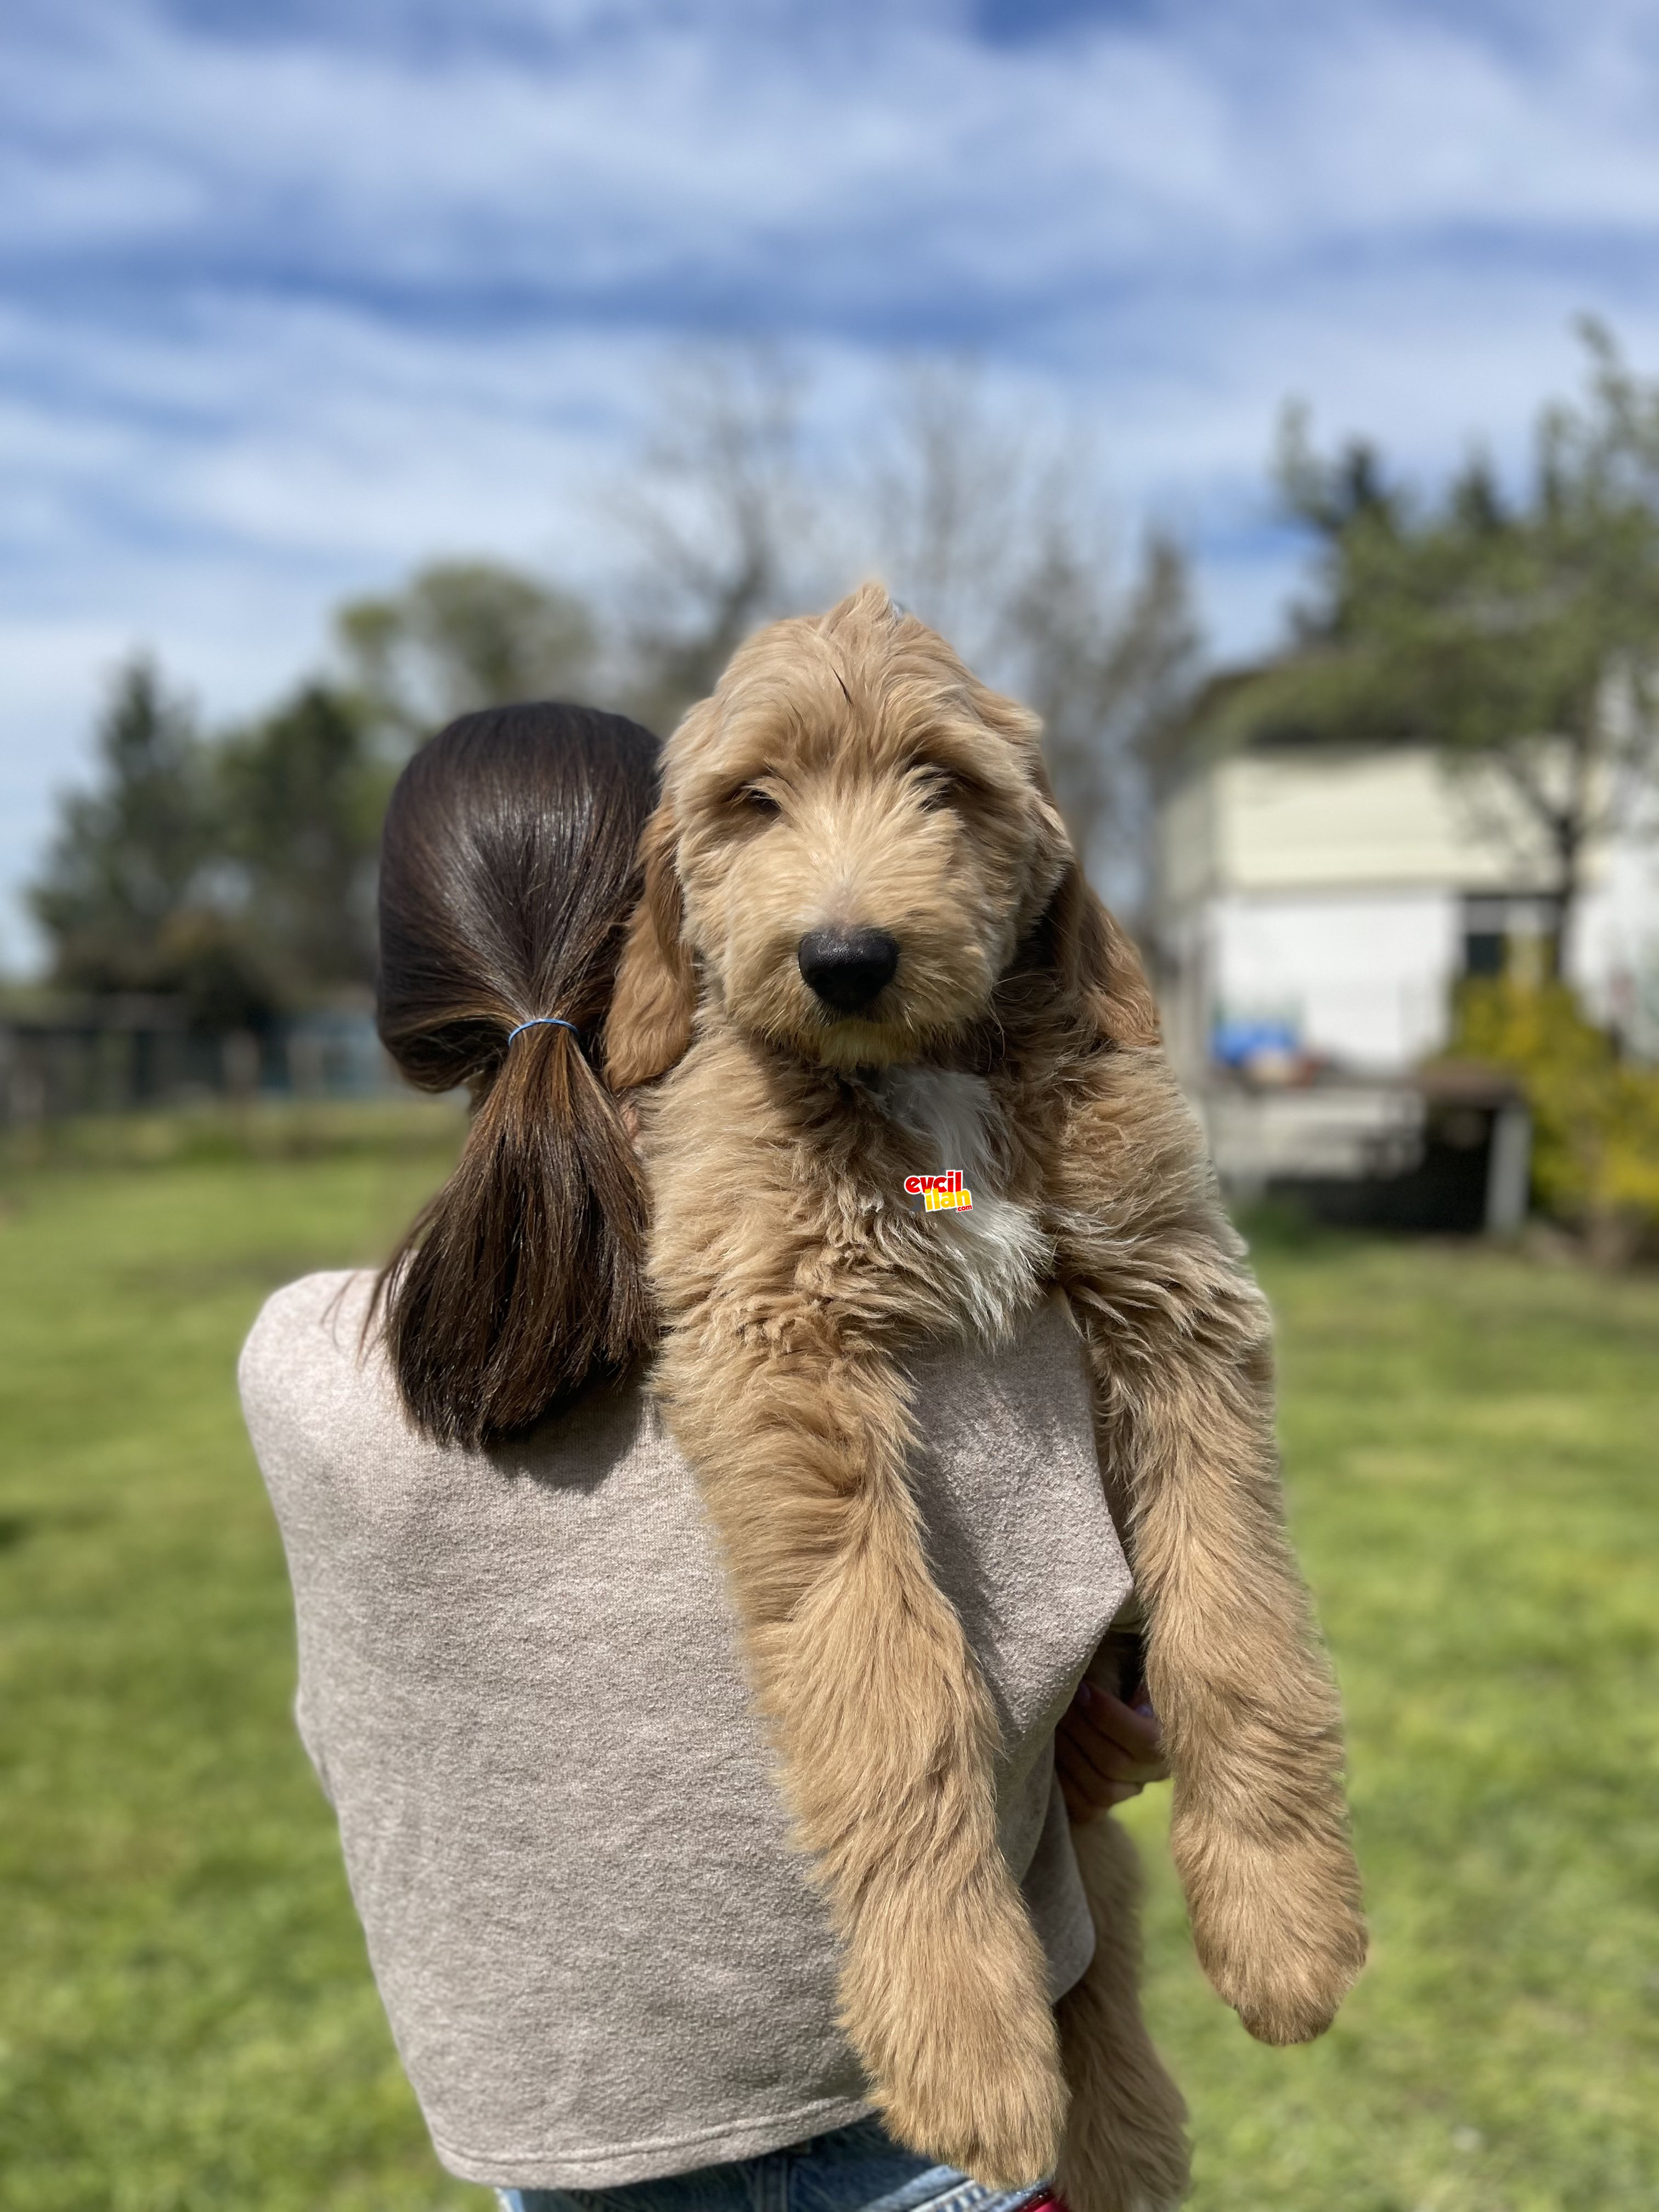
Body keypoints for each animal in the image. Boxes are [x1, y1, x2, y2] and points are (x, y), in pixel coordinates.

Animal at [606, 579, 1371, 2203]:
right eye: (754, 800)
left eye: (942, 783)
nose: (845, 958)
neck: (926, 1080)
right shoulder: (781, 1351)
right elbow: (895, 1685)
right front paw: (962, 2037)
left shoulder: (1178, 1303)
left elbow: (1238, 1632)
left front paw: (1286, 1925)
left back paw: (1129, 2129)